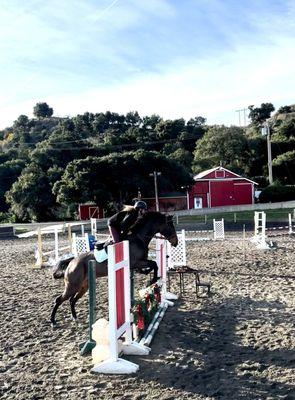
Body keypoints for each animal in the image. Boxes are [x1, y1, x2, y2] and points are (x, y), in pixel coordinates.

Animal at [50, 211, 178, 326]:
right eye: (171, 226)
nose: (175, 242)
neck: (139, 238)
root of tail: (71, 262)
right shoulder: (136, 262)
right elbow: (154, 264)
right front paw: (152, 280)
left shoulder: (139, 263)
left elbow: (152, 265)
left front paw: (148, 275)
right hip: (73, 286)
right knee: (59, 299)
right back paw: (53, 321)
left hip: (83, 286)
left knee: (72, 300)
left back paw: (74, 317)